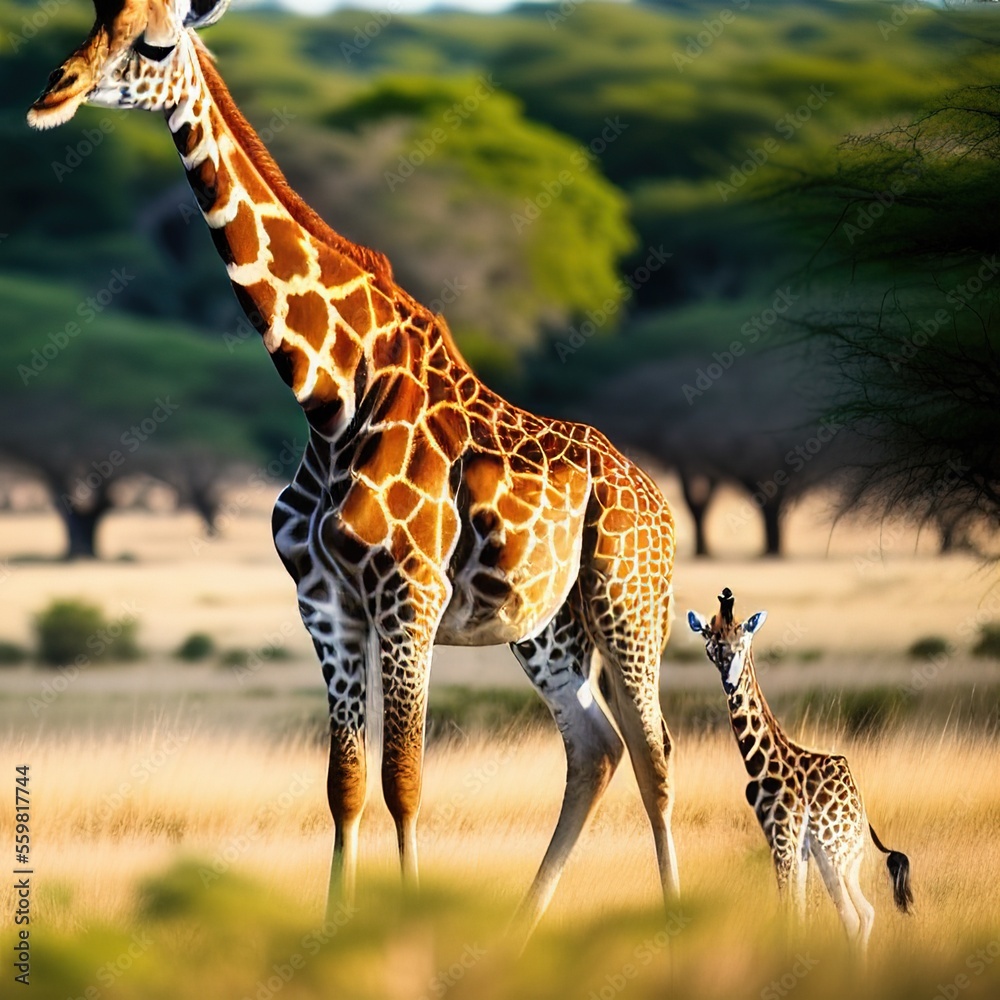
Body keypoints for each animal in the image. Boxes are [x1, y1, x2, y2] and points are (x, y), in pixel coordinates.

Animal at [27, 0, 680, 939]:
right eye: (94, 16)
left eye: (155, 41)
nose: (55, 91)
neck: (331, 397)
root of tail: (657, 500)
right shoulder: (324, 603)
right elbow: (343, 785)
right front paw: (334, 935)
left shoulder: (409, 598)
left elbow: (404, 782)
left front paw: (408, 931)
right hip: (546, 627)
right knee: (594, 748)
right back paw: (521, 929)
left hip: (628, 604)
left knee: (655, 754)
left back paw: (670, 920)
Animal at [687, 589, 912, 953]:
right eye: (712, 647)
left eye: (743, 643)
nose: (730, 684)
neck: (761, 762)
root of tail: (861, 813)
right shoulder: (797, 847)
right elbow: (799, 912)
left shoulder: (781, 839)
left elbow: (788, 911)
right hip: (837, 857)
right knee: (861, 914)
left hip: (837, 853)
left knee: (856, 915)